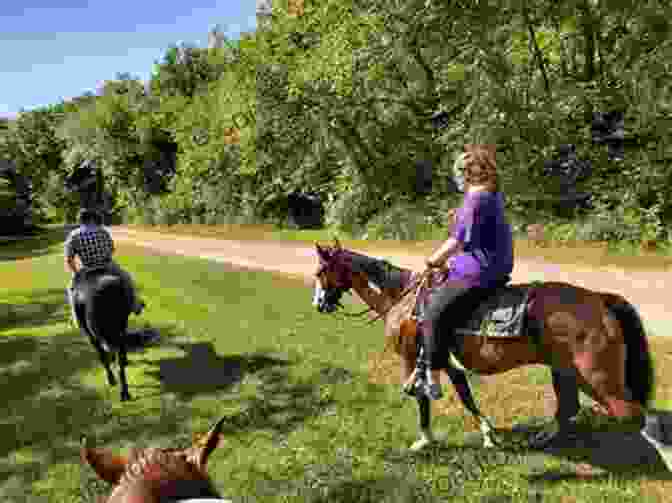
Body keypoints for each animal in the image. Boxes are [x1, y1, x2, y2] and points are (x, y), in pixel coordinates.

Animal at [73, 268, 133, 402]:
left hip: (94, 333)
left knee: (106, 357)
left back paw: (115, 383)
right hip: (115, 332)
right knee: (116, 361)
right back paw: (124, 392)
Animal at [314, 242, 656, 450]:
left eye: (320, 271)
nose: (319, 304)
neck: (402, 297)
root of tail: (599, 300)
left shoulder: (413, 360)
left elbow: (422, 398)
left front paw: (424, 440)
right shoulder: (446, 363)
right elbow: (466, 397)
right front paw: (489, 435)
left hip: (596, 378)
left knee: (634, 415)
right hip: (565, 371)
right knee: (569, 408)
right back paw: (543, 437)